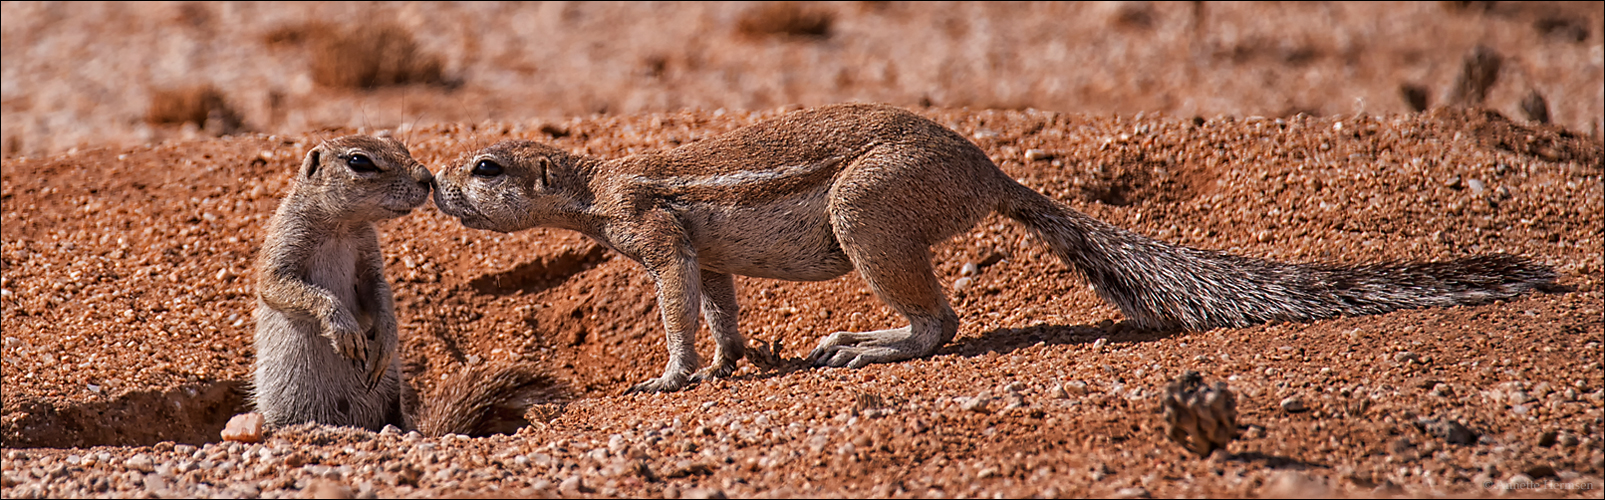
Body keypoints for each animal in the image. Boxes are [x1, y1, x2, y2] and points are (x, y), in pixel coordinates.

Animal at [247, 134, 555, 435]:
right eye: (359, 161)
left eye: (399, 145)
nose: (426, 177)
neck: (342, 226)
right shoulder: (284, 241)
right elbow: (281, 287)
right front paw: (344, 329)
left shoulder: (370, 257)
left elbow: (380, 291)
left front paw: (387, 338)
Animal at [426, 103, 1553, 394]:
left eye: (486, 166)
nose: (436, 186)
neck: (592, 184)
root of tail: (987, 172)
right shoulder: (702, 251)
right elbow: (719, 298)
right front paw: (735, 357)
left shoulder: (654, 232)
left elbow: (673, 300)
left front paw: (668, 375)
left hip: (869, 213)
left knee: (940, 320)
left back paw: (861, 343)